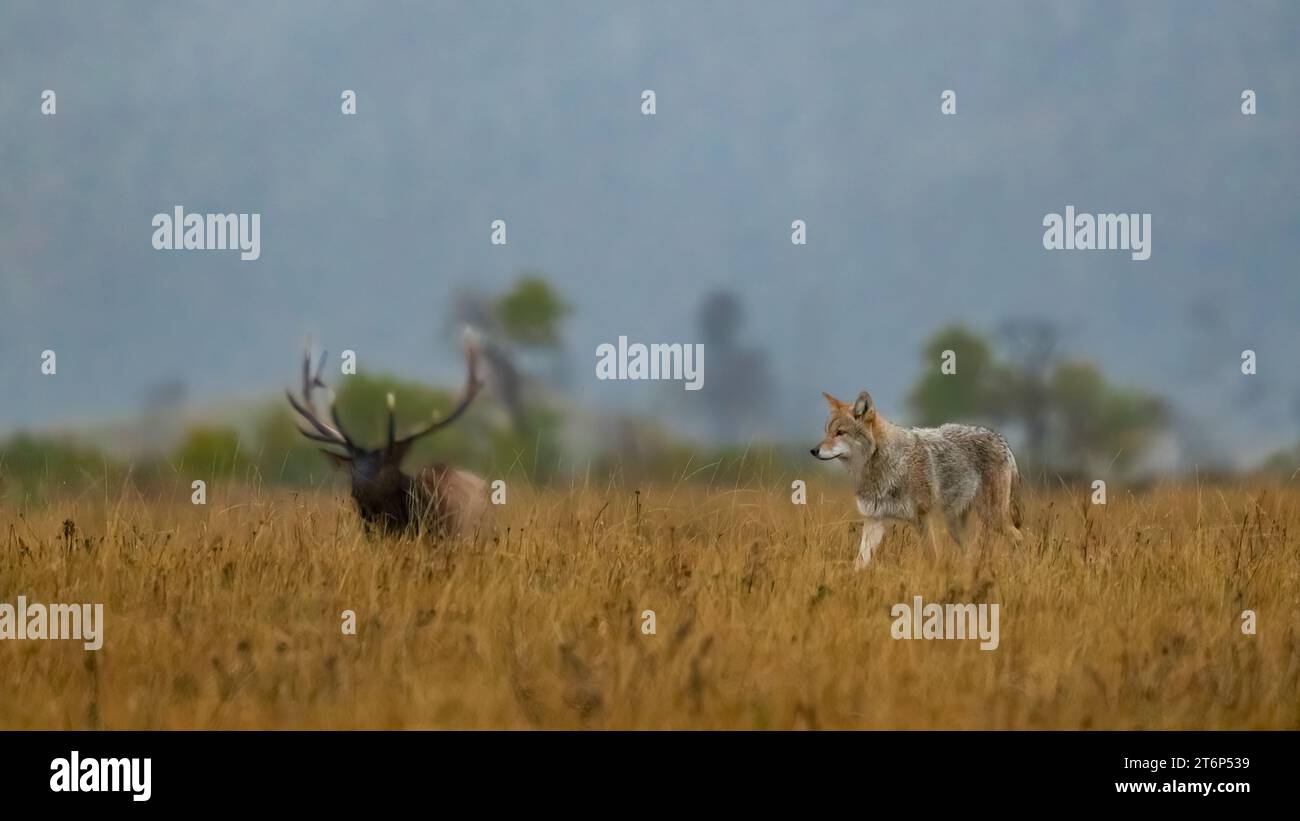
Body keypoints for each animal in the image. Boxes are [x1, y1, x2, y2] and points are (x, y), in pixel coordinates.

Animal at [806, 389, 1019, 566]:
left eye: (840, 433)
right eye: (827, 432)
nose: (813, 451)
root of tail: (1000, 438)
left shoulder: (923, 519)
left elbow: (933, 559)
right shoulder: (874, 520)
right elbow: (859, 562)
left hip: (992, 518)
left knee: (1019, 537)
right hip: (955, 526)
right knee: (973, 553)